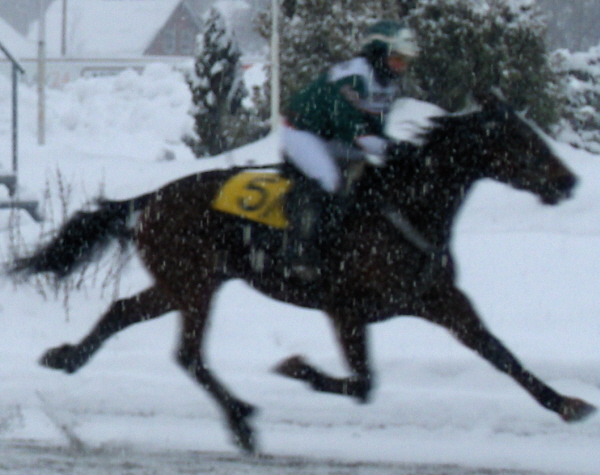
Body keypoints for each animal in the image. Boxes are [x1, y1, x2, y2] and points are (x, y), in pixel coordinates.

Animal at [9, 94, 596, 454]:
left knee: (123, 310)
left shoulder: (439, 300)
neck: (403, 206)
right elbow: (363, 384)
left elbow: (501, 353)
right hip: (195, 284)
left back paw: (66, 357)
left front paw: (567, 404)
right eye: (521, 142)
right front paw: (295, 366)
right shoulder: (346, 310)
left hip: (182, 282)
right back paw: (241, 419)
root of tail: (148, 200)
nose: (568, 181)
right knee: (188, 354)